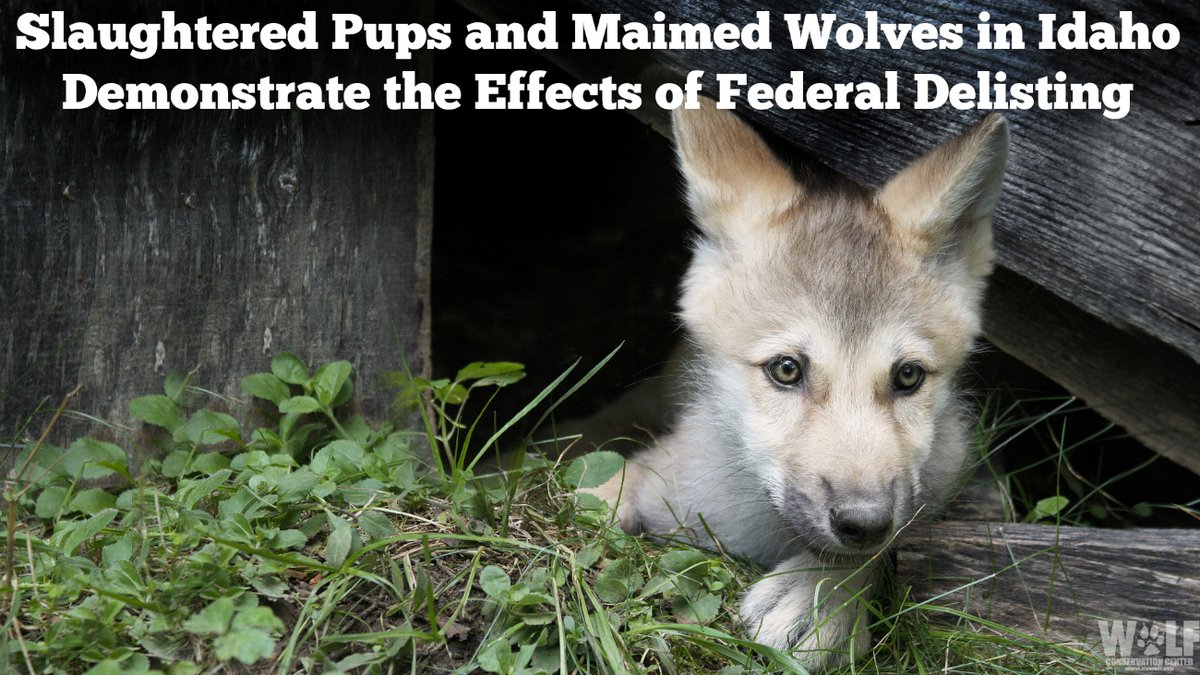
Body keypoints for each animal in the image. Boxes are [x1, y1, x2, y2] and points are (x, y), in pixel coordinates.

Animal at [589, 100, 1008, 669]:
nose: (864, 521)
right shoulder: (662, 471)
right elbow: (611, 482)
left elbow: (897, 540)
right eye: (786, 370)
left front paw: (822, 592)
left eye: (908, 376)